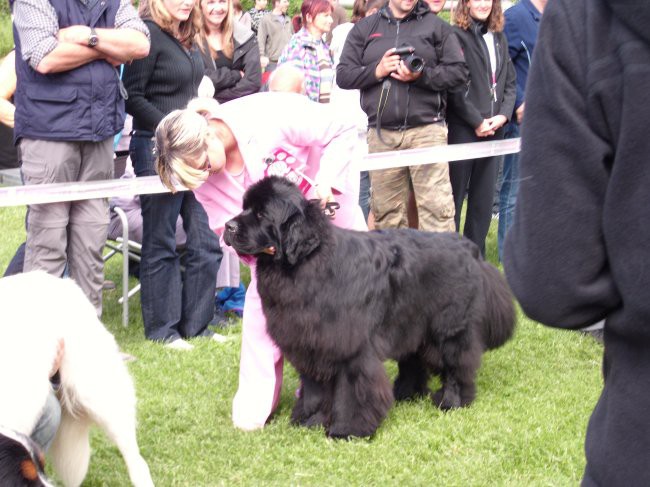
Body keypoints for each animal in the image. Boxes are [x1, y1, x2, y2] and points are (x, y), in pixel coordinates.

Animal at [225, 176, 512, 438]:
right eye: (244, 207)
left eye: (262, 214)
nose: (228, 226)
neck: (305, 263)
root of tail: (470, 248)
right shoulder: (310, 343)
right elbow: (315, 390)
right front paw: (310, 421)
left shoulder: (349, 346)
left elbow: (351, 390)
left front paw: (346, 430)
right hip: (409, 321)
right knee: (413, 359)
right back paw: (405, 394)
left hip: (449, 326)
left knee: (456, 363)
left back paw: (452, 401)